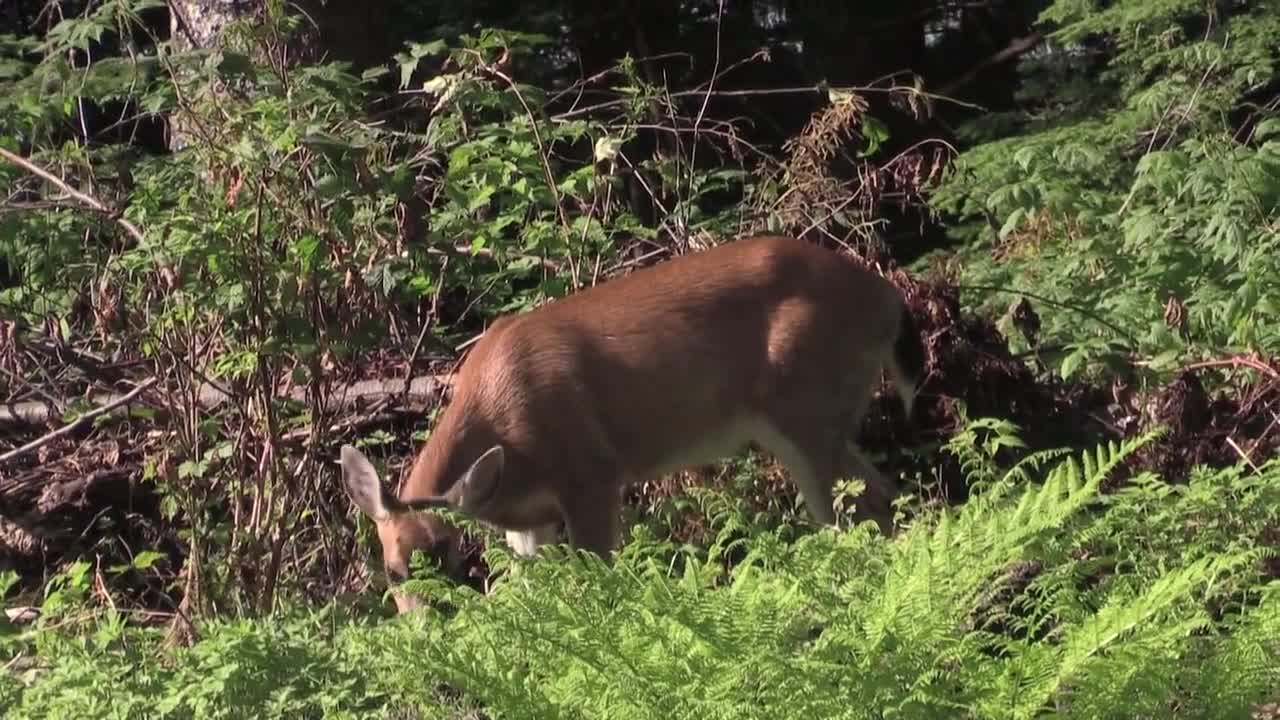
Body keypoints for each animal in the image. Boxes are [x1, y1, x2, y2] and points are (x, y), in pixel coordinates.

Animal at [340, 233, 921, 607]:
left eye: (455, 564)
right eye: (393, 573)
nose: (431, 628)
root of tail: (889, 298)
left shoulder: (592, 474)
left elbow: (599, 579)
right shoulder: (530, 520)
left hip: (807, 407)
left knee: (856, 511)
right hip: (819, 419)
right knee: (881, 497)